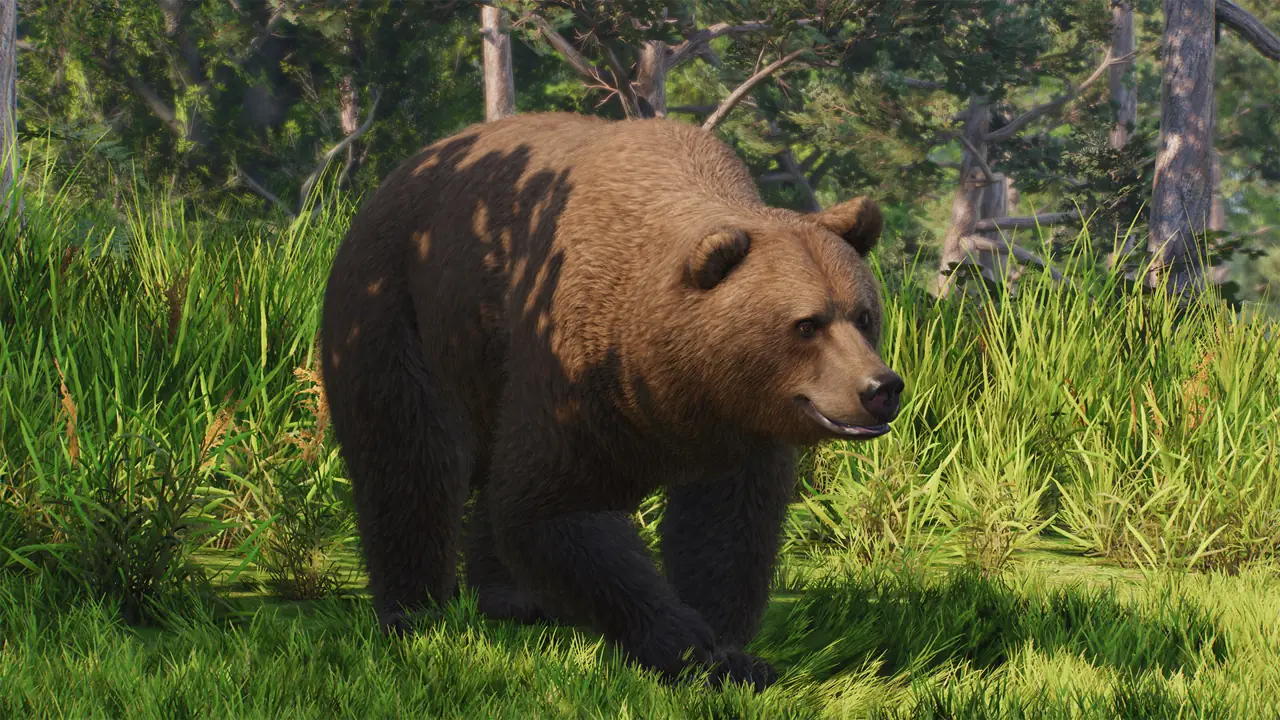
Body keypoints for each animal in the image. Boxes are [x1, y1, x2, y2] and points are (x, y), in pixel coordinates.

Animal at [318, 111, 903, 692]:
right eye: (807, 324)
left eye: (864, 315)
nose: (880, 388)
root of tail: (402, 170)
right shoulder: (573, 366)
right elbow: (552, 508)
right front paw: (685, 645)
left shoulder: (737, 424)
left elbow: (728, 528)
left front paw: (735, 654)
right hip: (398, 308)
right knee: (410, 459)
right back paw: (414, 615)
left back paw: (513, 600)